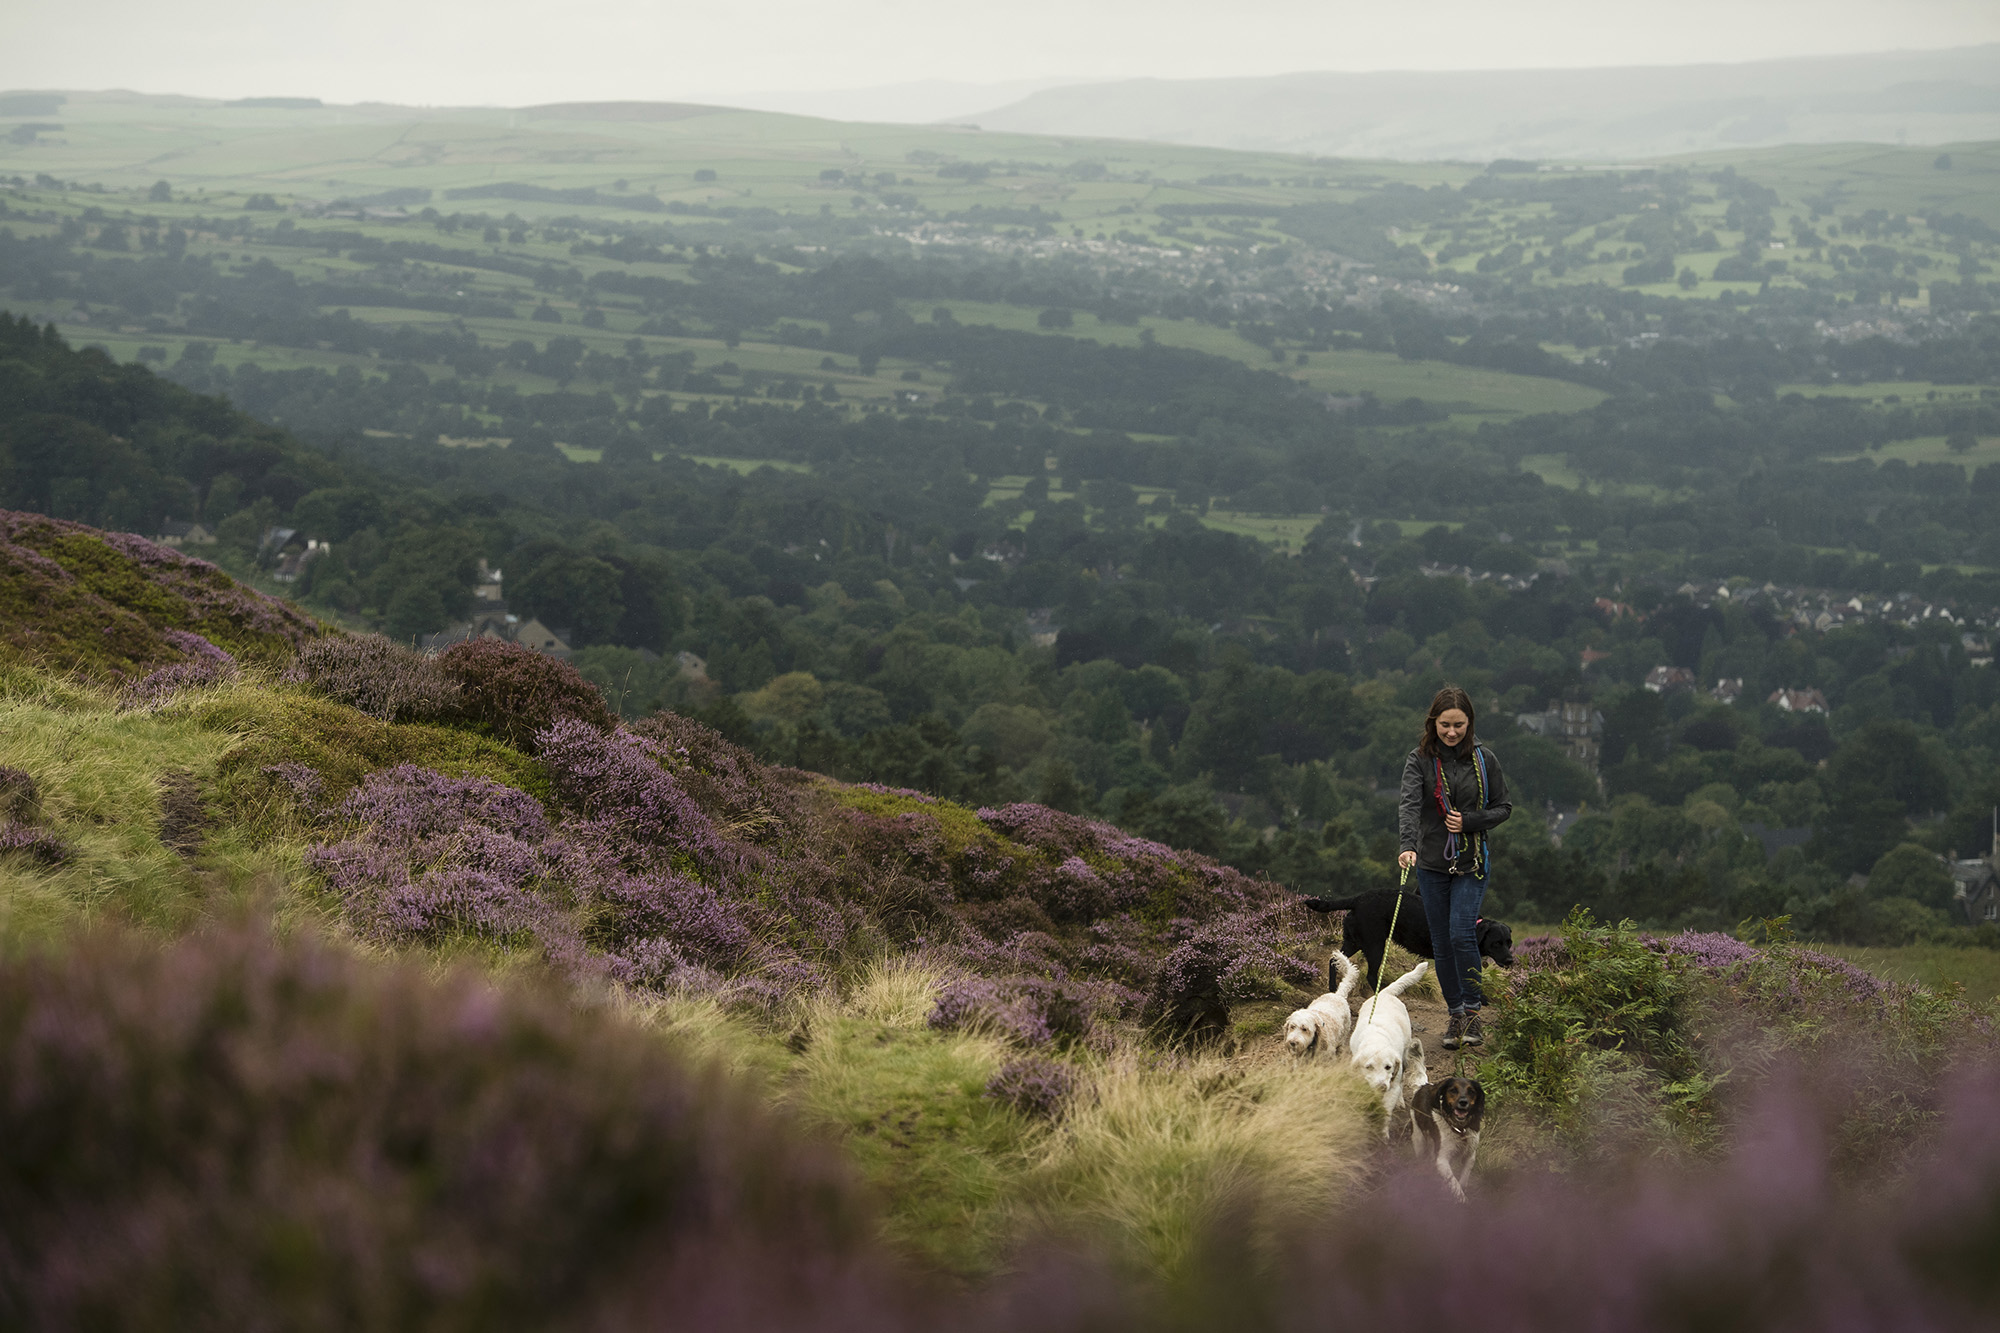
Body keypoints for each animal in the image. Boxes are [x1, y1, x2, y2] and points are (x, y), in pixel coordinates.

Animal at [1304, 888, 1504, 992]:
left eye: (1508, 942)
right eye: (1497, 943)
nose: (1509, 960)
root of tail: (1358, 898)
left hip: (1355, 942)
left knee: (1333, 959)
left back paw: (1332, 987)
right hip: (1375, 946)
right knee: (1371, 975)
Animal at [1352, 956, 1432, 1128]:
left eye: (1388, 1067)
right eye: (1369, 1067)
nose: (1382, 1087)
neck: (1376, 1037)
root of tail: (1384, 993)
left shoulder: (1392, 1084)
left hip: (1405, 1055)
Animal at [1408, 1072, 1488, 1200]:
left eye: (1471, 1091)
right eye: (1453, 1090)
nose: (1463, 1102)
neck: (1460, 1129)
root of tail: (1423, 1086)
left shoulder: (1470, 1154)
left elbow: (1462, 1180)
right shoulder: (1442, 1159)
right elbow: (1455, 1184)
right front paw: (1462, 1200)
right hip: (1418, 1140)